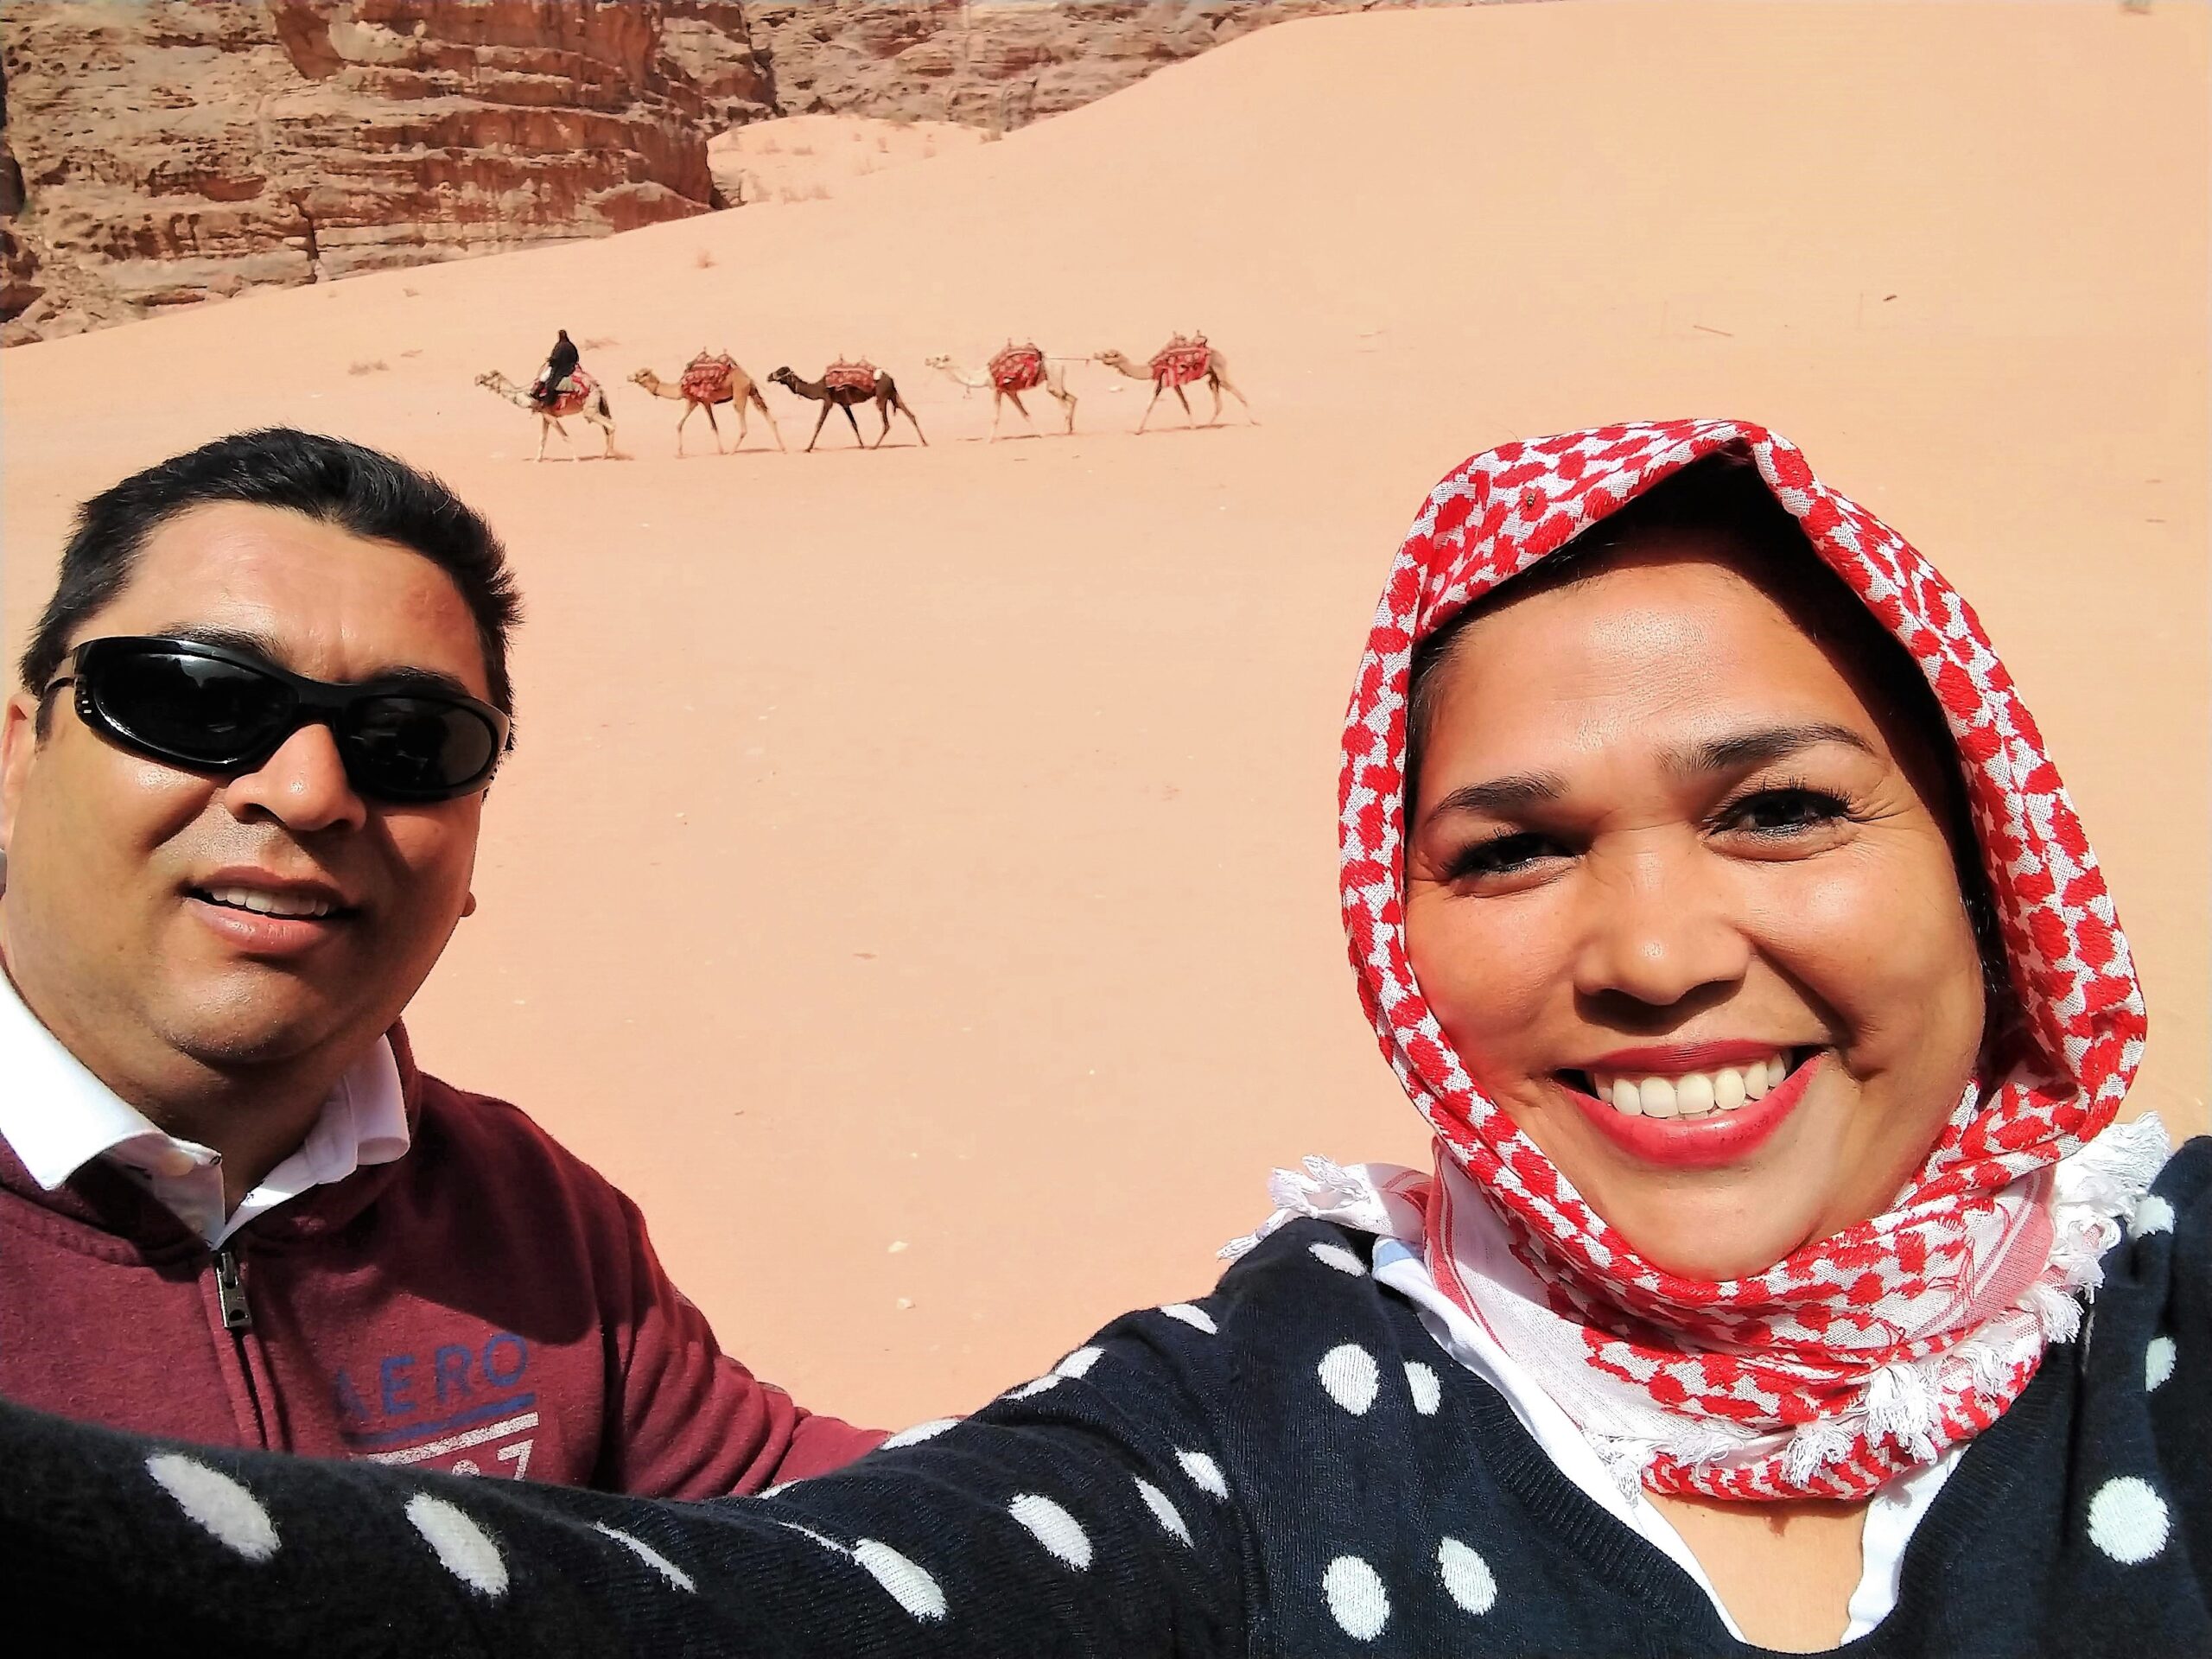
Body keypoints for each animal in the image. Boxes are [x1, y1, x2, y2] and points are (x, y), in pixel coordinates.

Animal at [473, 369, 620, 461]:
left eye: (488, 376)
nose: (476, 379)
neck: (530, 397)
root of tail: (598, 388)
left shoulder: (550, 416)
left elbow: (565, 436)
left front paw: (576, 459)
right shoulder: (545, 415)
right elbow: (543, 439)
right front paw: (537, 460)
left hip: (590, 409)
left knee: (611, 425)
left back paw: (610, 455)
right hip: (597, 407)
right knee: (606, 428)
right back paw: (606, 455)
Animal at [630, 352, 784, 457]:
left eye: (640, 374)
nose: (628, 377)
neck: (679, 387)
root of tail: (748, 378)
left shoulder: (695, 401)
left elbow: (689, 424)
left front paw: (680, 453)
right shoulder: (704, 402)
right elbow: (708, 426)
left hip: (739, 392)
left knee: (743, 425)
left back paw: (732, 452)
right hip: (752, 392)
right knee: (768, 416)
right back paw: (783, 448)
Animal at [766, 360, 928, 451]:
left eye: (781, 371)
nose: (768, 376)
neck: (819, 387)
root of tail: (891, 379)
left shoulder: (828, 401)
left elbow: (819, 424)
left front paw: (808, 448)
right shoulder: (844, 404)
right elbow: (854, 424)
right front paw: (861, 445)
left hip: (881, 397)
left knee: (887, 423)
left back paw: (874, 447)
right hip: (893, 394)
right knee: (911, 415)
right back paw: (924, 442)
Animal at [924, 343, 1079, 439]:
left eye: (938, 357)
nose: (926, 360)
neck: (986, 375)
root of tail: (1062, 363)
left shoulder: (1000, 389)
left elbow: (996, 417)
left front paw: (988, 440)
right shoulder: (1009, 391)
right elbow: (1025, 414)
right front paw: (1041, 434)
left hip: (1053, 376)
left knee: (1064, 407)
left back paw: (1061, 433)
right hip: (1057, 379)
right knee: (1072, 398)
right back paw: (1070, 431)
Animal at [1095, 334, 1257, 434]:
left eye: (1108, 354)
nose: (1096, 354)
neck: (1152, 368)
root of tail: (1219, 353)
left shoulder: (1172, 381)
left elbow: (1184, 403)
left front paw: (1192, 426)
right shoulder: (1162, 383)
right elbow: (1150, 405)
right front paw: (1138, 430)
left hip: (1220, 370)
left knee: (1238, 394)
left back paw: (1253, 421)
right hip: (1212, 376)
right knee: (1218, 402)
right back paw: (1208, 425)